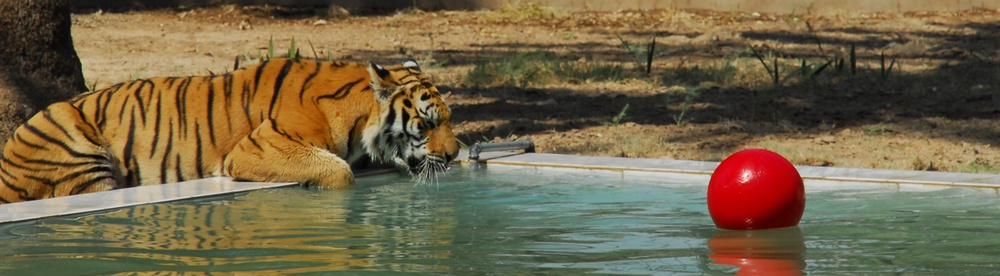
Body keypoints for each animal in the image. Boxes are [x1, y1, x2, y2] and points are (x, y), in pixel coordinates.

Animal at [0, 57, 460, 204]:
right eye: (427, 122)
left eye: (450, 118)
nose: (456, 154)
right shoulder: (260, 146)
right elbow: (339, 170)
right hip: (76, 143)